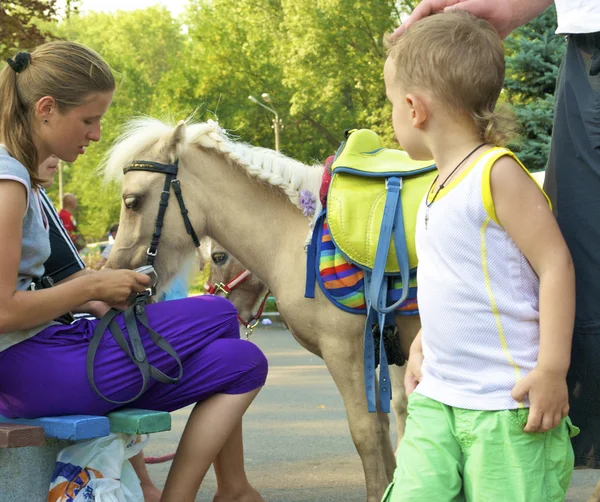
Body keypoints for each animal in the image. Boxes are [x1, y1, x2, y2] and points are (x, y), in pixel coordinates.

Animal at [103, 118, 420, 502]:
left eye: (132, 202)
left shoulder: (345, 352)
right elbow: (386, 425)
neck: (300, 238)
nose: (115, 272)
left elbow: (367, 432)